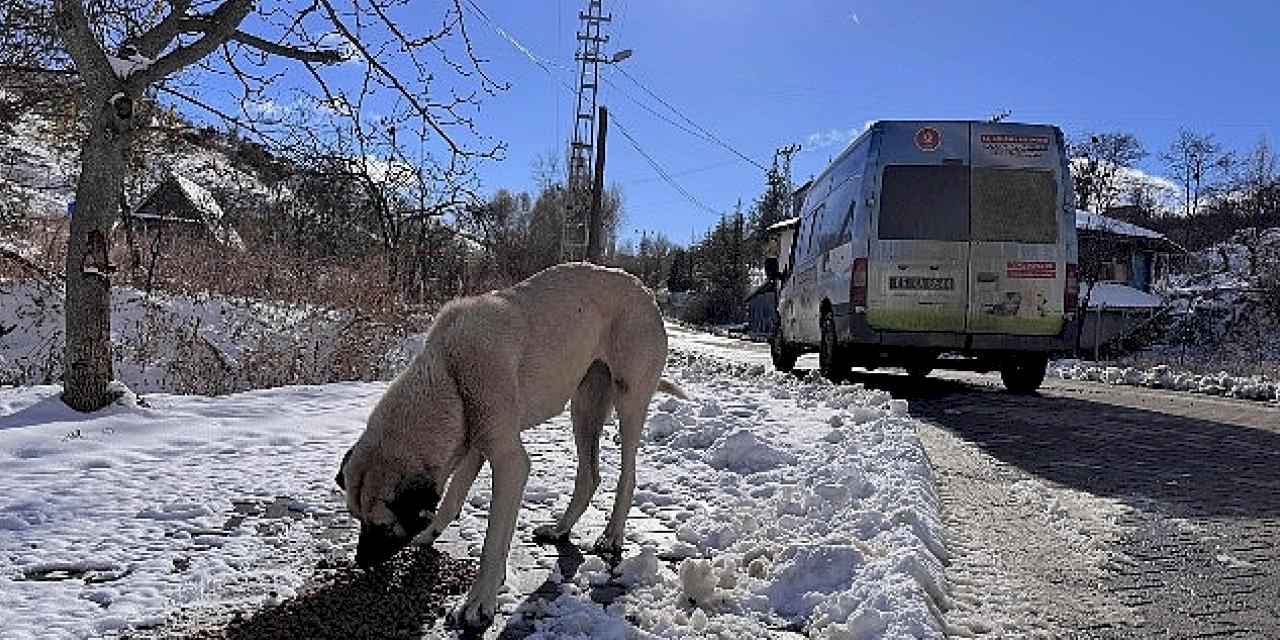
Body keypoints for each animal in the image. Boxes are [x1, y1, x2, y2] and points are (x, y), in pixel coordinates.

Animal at [335, 262, 686, 632]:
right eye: (357, 518)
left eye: (382, 526)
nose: (361, 562)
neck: (450, 372)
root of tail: (646, 291)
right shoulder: (475, 443)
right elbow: (452, 496)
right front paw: (431, 531)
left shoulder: (509, 462)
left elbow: (492, 542)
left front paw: (478, 602)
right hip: (584, 407)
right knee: (589, 475)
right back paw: (560, 529)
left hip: (629, 401)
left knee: (627, 474)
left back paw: (612, 535)